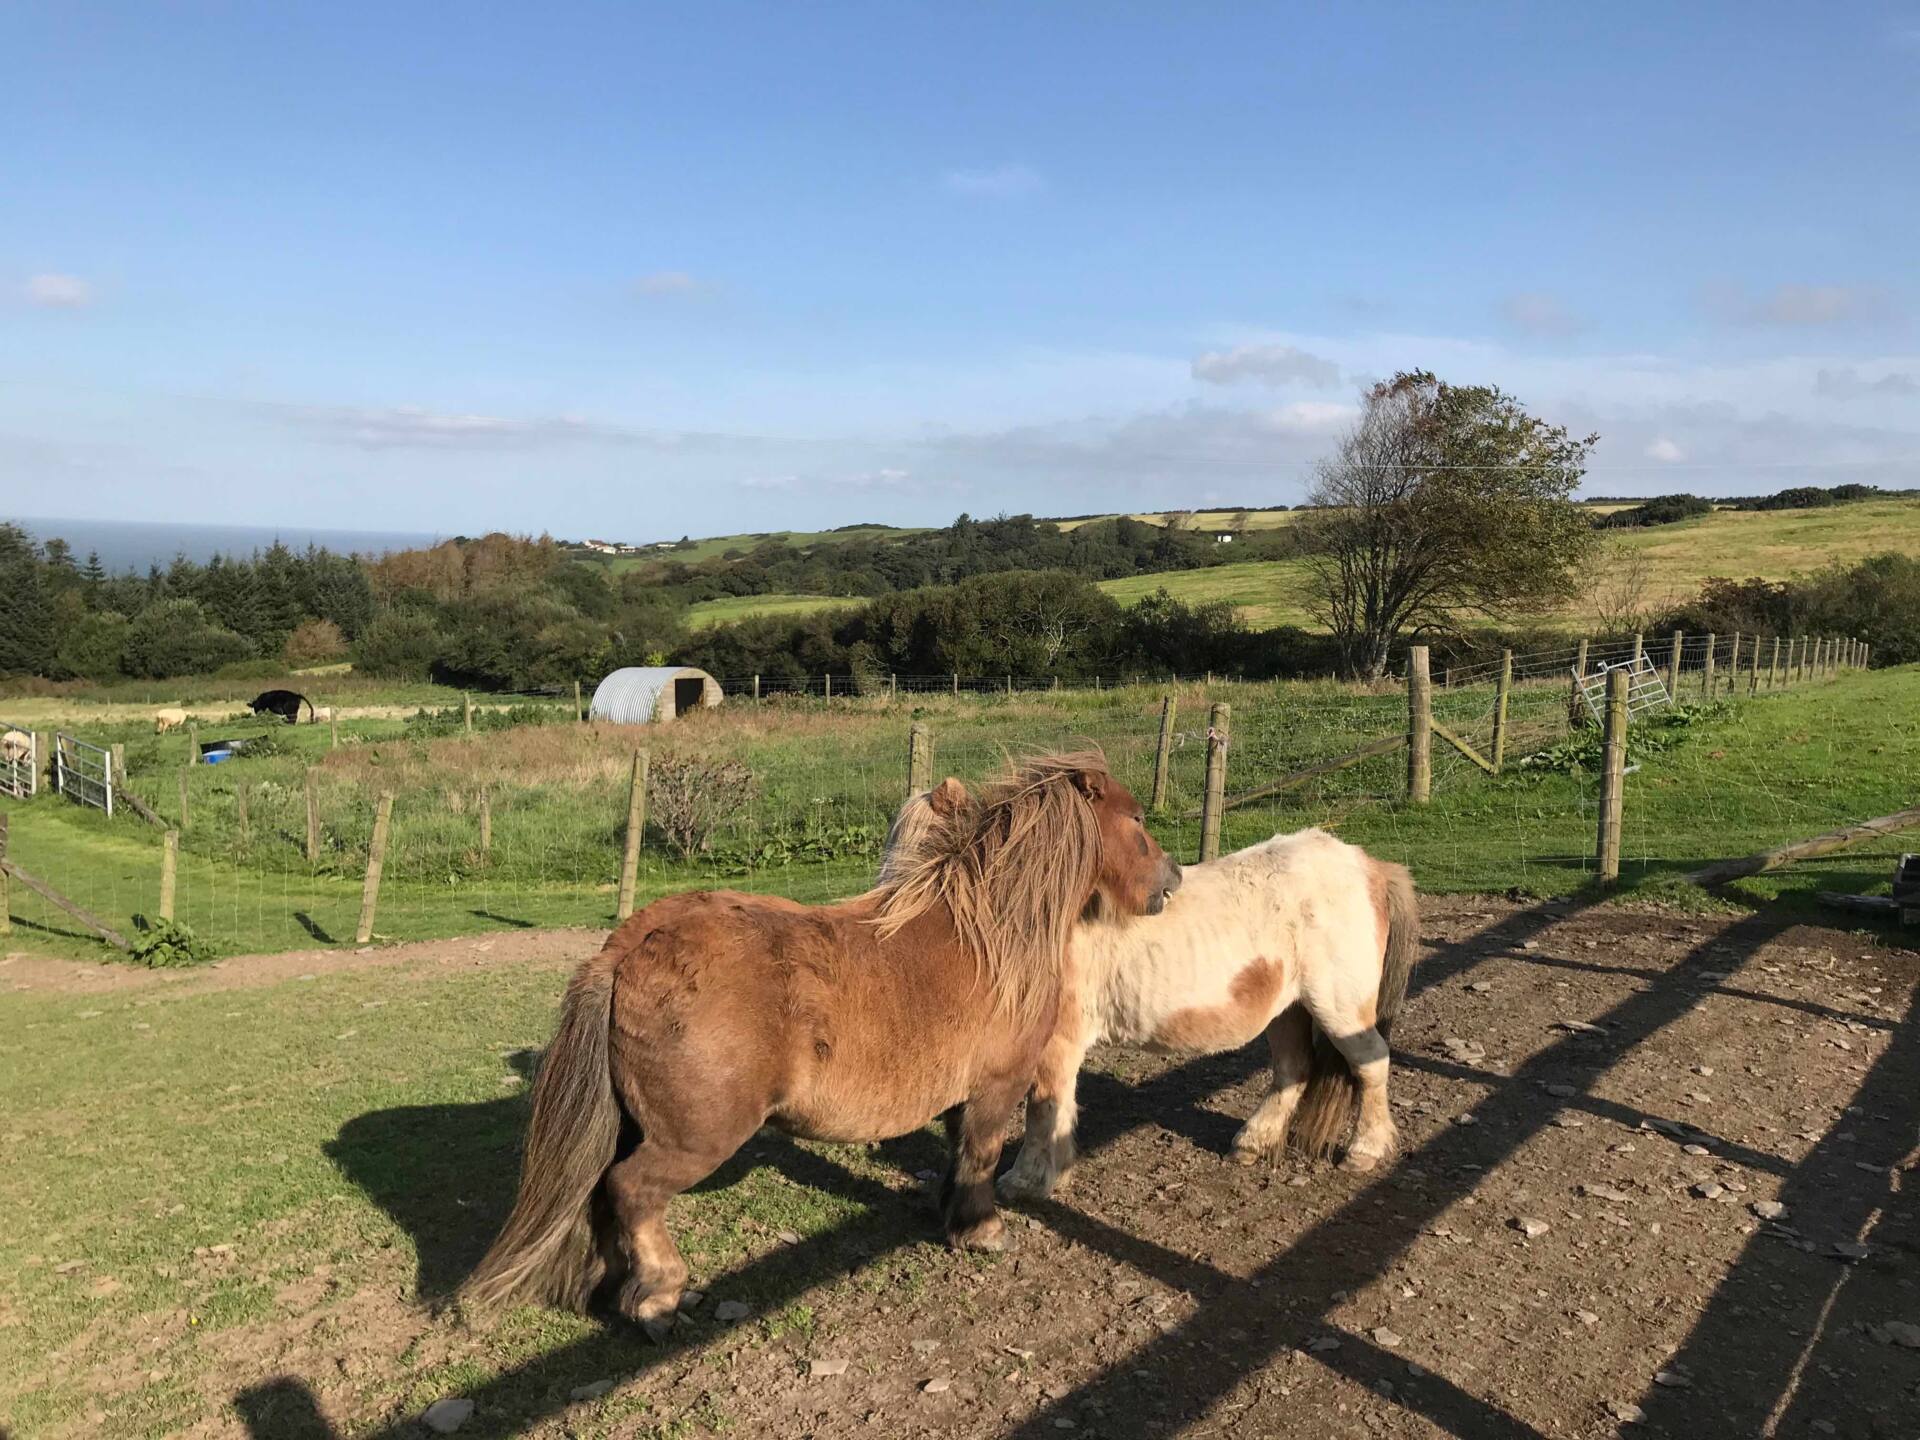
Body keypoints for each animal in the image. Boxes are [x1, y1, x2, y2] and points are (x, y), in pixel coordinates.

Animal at [468, 756, 1182, 1344]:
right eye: (1137, 820)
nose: (1171, 877)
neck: (989, 935)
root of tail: (627, 948)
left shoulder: (961, 1095)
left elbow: (957, 1155)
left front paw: (950, 1217)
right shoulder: (997, 1088)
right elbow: (980, 1157)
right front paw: (981, 1230)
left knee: (602, 1193)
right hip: (692, 1141)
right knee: (630, 1190)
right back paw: (658, 1300)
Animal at [883, 783, 1413, 1198]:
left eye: (930, 867)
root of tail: (1369, 865)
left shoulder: (1057, 1043)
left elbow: (1043, 1108)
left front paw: (1027, 1180)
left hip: (1339, 1009)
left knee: (1370, 1064)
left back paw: (1364, 1151)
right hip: (1288, 1010)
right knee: (1293, 1069)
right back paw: (1252, 1142)